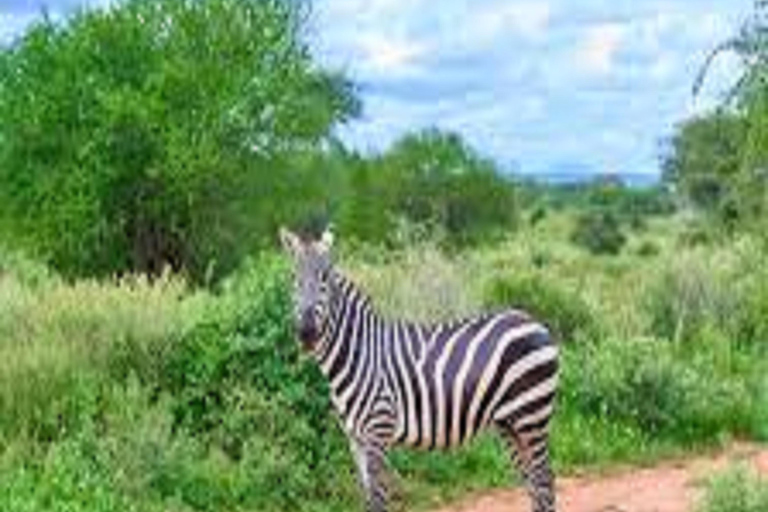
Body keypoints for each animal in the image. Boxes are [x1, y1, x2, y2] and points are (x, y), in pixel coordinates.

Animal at [280, 227, 560, 512]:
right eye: (294, 279)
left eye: (324, 278)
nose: (306, 333)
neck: (358, 354)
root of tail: (535, 322)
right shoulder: (354, 439)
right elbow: (366, 496)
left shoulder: (378, 431)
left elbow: (378, 499)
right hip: (509, 423)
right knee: (533, 482)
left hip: (532, 415)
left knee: (544, 480)